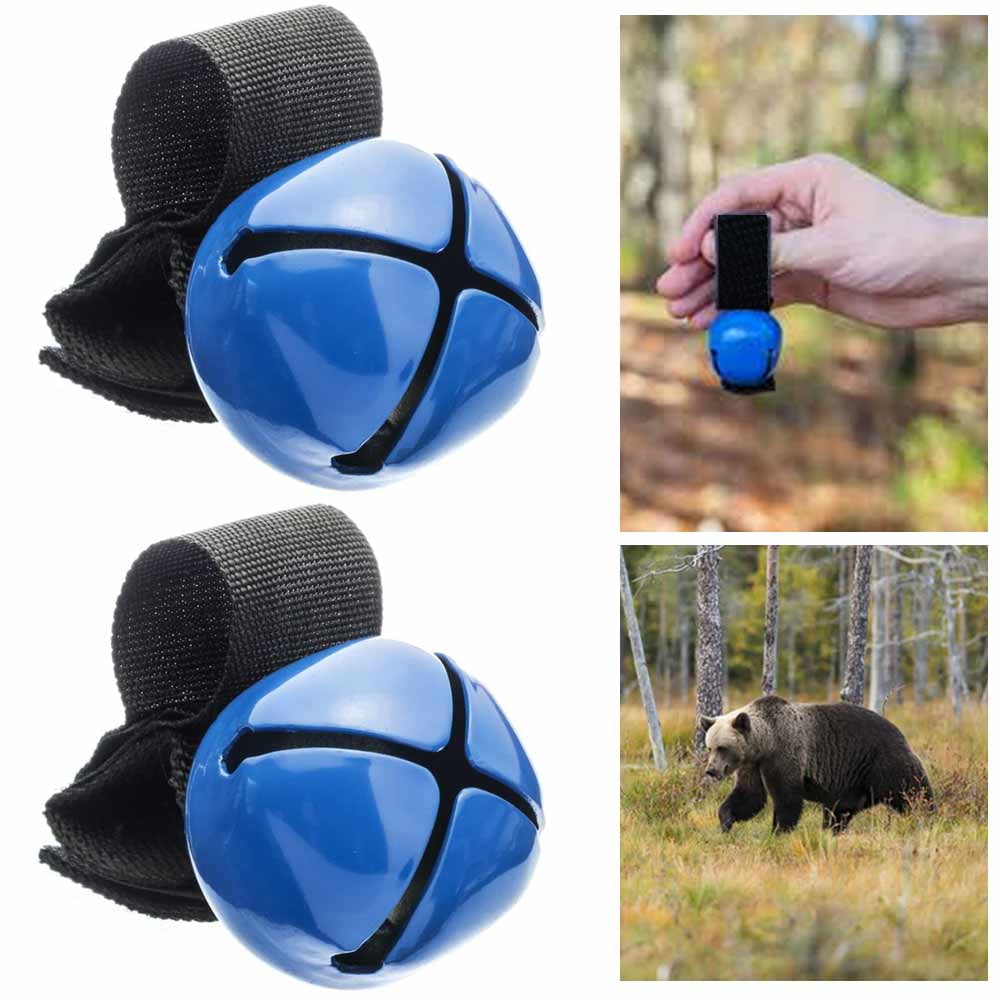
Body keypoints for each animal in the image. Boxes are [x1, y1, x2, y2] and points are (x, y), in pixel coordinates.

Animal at [700, 695, 933, 834]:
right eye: (709, 747)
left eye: (722, 747)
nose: (711, 770)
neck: (765, 743)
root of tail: (899, 730)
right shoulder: (753, 766)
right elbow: (750, 796)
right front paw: (725, 821)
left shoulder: (785, 755)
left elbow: (787, 798)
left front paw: (779, 831)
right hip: (852, 784)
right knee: (839, 811)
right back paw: (832, 830)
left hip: (882, 762)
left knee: (912, 791)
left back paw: (926, 817)